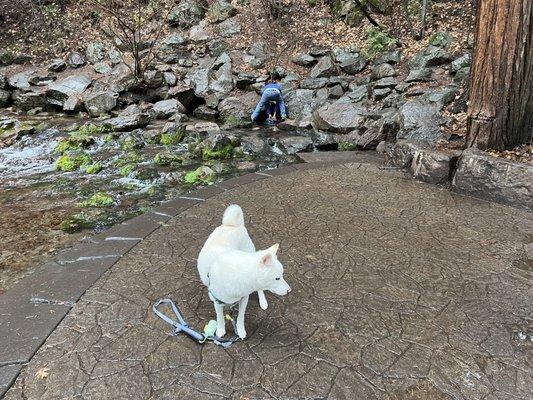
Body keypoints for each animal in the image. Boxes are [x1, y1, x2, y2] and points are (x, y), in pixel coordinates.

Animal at [197, 205, 290, 340]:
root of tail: (233, 225)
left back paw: (263, 302)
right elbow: (219, 317)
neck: (239, 274)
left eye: (281, 276)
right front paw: (220, 330)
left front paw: (240, 331)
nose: (289, 290)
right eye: (277, 278)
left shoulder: (244, 298)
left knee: (260, 290)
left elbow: (240, 317)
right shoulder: (216, 300)